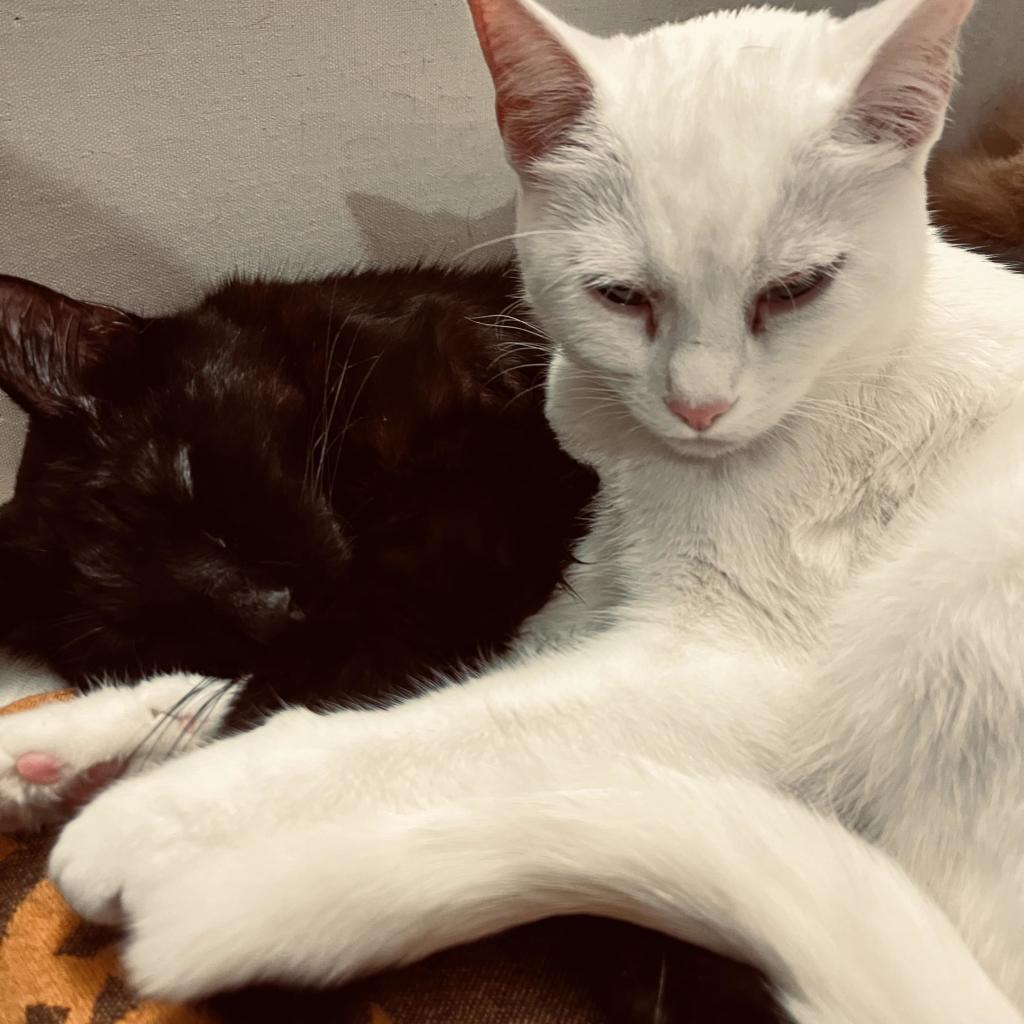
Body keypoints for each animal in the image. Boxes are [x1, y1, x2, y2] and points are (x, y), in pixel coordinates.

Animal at [2, 0, 1024, 1019]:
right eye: (146, 626)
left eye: (190, 478)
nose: (700, 407)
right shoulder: (568, 580)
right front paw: (72, 744)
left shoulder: (721, 650)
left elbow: (429, 721)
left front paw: (161, 808)